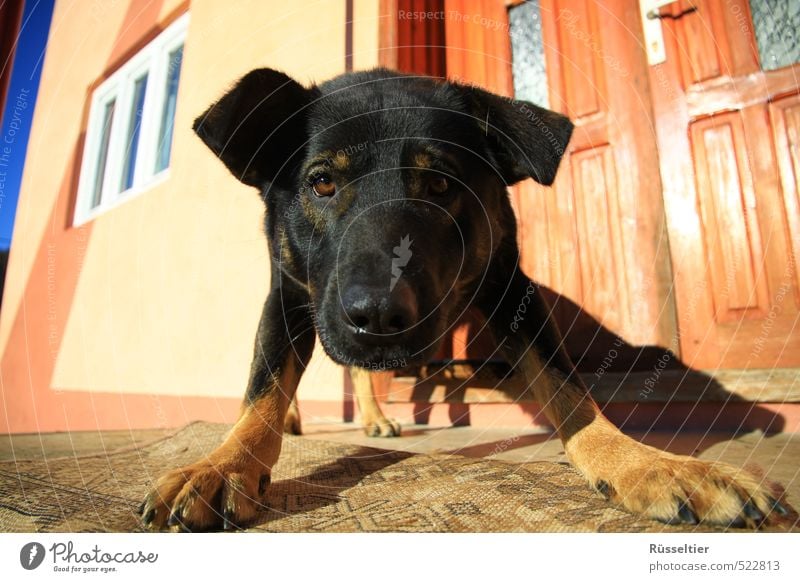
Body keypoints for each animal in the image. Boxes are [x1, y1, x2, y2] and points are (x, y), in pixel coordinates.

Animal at [141, 68, 792, 532]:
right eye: (321, 182)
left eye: (440, 184)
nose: (377, 315)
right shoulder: (288, 294)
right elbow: (263, 389)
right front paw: (226, 462)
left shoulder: (512, 289)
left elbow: (573, 397)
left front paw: (646, 463)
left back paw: (376, 417)